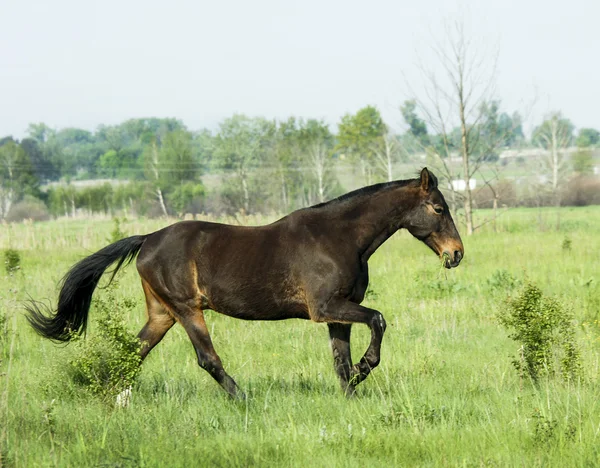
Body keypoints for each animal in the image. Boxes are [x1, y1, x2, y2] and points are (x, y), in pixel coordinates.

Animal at [27, 166, 464, 396]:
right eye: (438, 208)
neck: (341, 239)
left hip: (162, 314)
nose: (456, 253)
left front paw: (352, 389)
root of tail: (147, 239)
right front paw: (364, 368)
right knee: (207, 359)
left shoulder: (338, 312)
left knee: (134, 352)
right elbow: (378, 320)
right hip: (187, 310)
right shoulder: (326, 308)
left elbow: (340, 360)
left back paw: (112, 396)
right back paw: (241, 397)